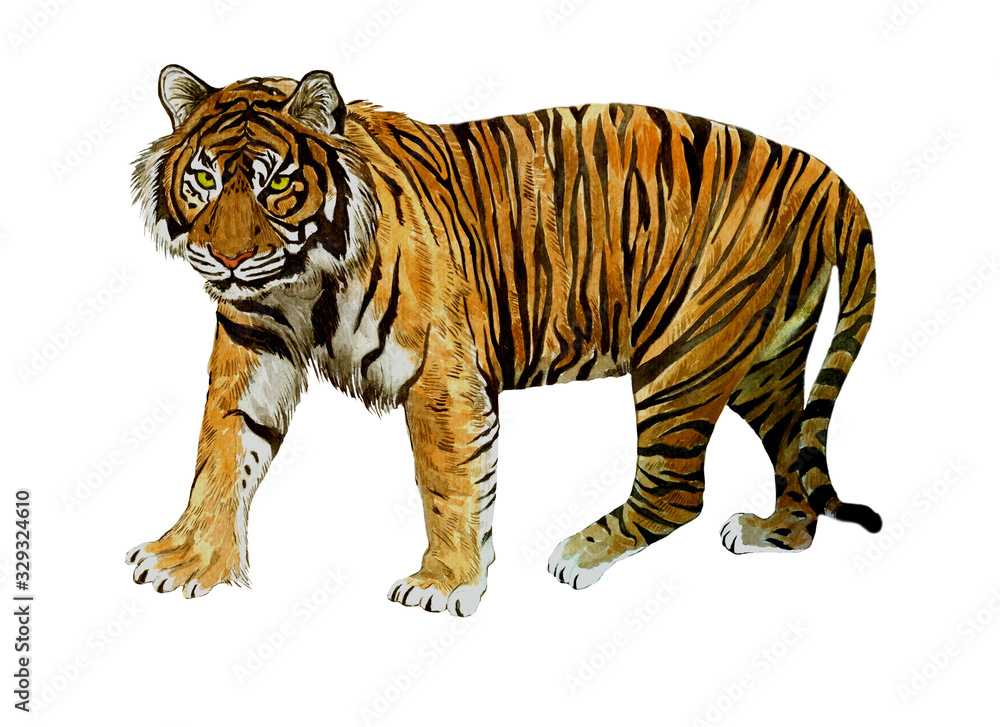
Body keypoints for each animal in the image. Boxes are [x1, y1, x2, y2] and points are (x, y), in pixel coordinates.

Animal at [126, 65, 882, 616]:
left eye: (278, 184)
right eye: (203, 179)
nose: (226, 261)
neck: (302, 283)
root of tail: (821, 171)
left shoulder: (441, 376)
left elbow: (449, 482)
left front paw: (444, 584)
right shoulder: (253, 344)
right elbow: (225, 451)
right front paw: (189, 560)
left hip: (684, 357)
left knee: (678, 489)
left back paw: (580, 553)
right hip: (760, 361)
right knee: (794, 454)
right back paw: (771, 532)